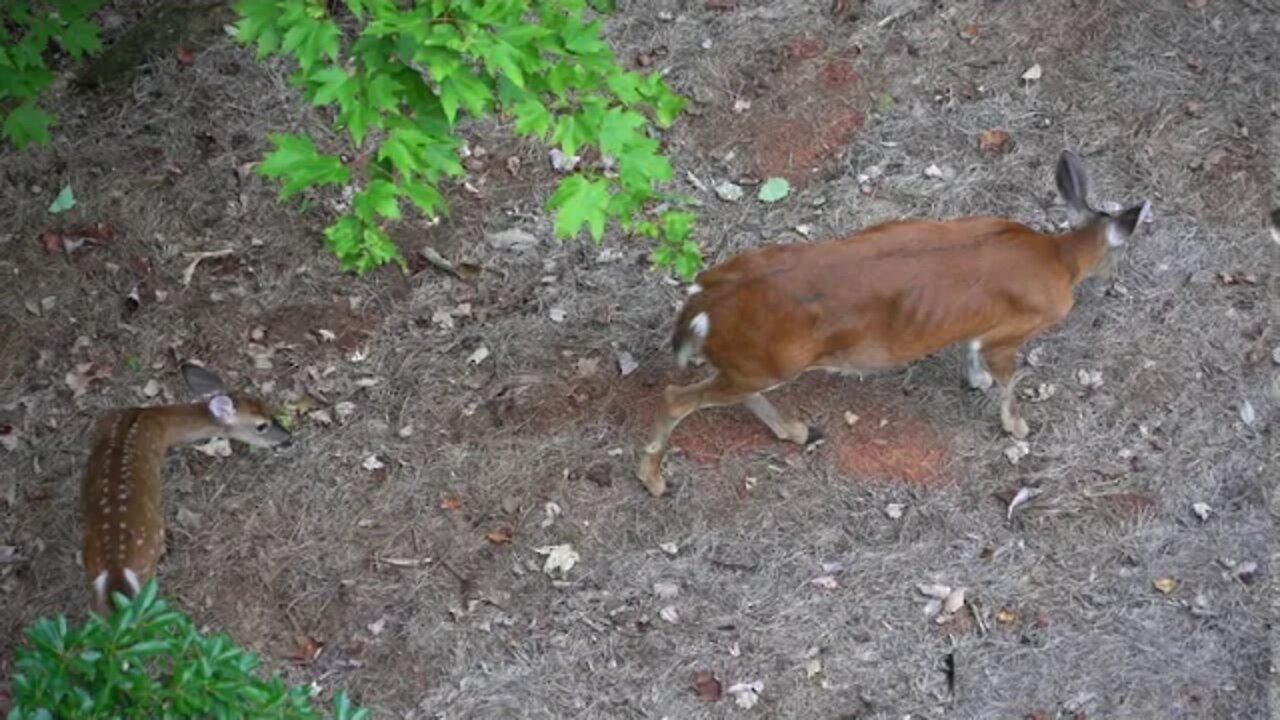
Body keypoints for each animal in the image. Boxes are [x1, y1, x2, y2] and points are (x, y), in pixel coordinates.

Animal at [81, 363, 292, 614]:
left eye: (269, 407)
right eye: (261, 425)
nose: (289, 439)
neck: (156, 420)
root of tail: (115, 570)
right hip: (147, 559)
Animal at [638, 150, 1151, 497]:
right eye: (1122, 253)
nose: (1116, 284)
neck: (1058, 258)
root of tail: (704, 302)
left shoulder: (982, 326)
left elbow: (971, 348)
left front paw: (976, 381)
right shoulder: (1015, 329)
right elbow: (1009, 379)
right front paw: (1017, 427)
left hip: (752, 363)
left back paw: (799, 431)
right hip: (765, 361)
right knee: (675, 397)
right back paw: (654, 480)